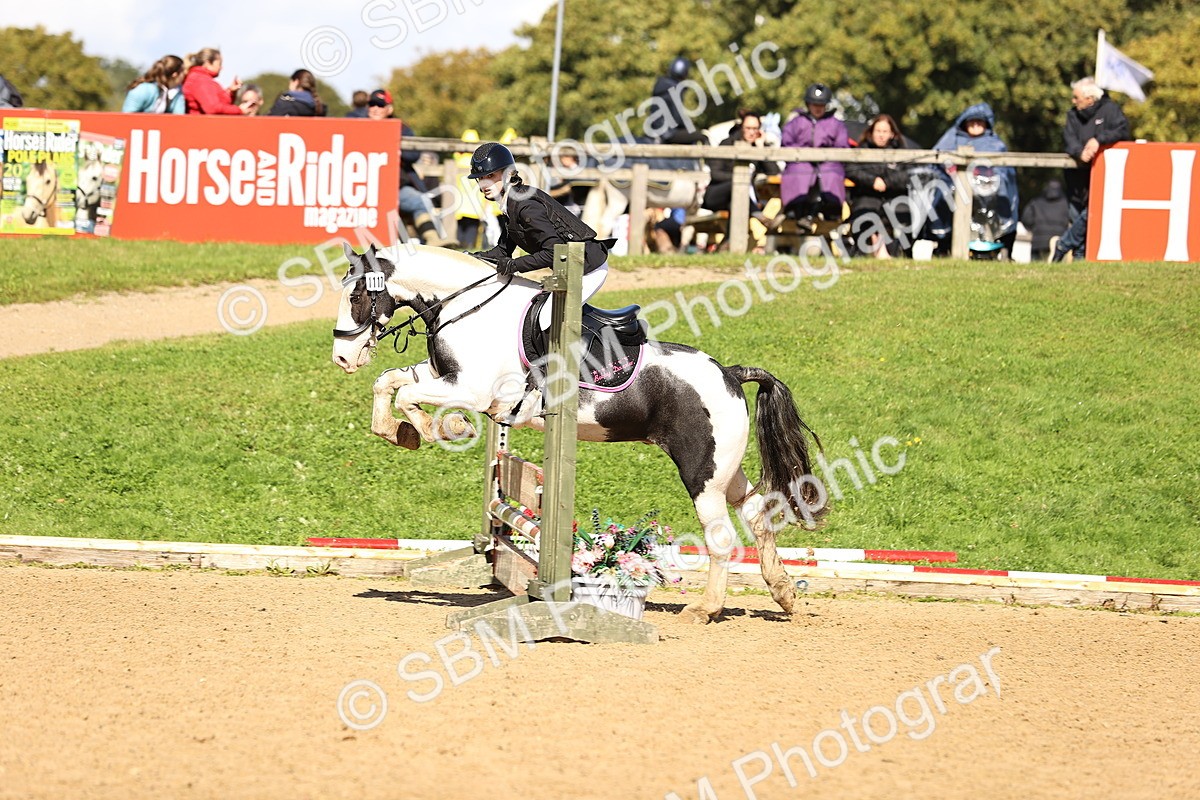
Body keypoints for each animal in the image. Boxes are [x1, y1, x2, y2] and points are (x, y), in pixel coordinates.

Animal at [330, 243, 827, 623]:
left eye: (356, 295)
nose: (341, 359)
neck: (464, 308)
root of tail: (729, 373)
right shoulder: (443, 376)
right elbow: (390, 382)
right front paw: (397, 432)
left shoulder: (471, 390)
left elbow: (411, 396)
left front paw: (442, 428)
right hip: (723, 469)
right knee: (758, 513)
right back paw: (784, 595)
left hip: (700, 472)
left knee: (721, 538)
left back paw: (704, 610)